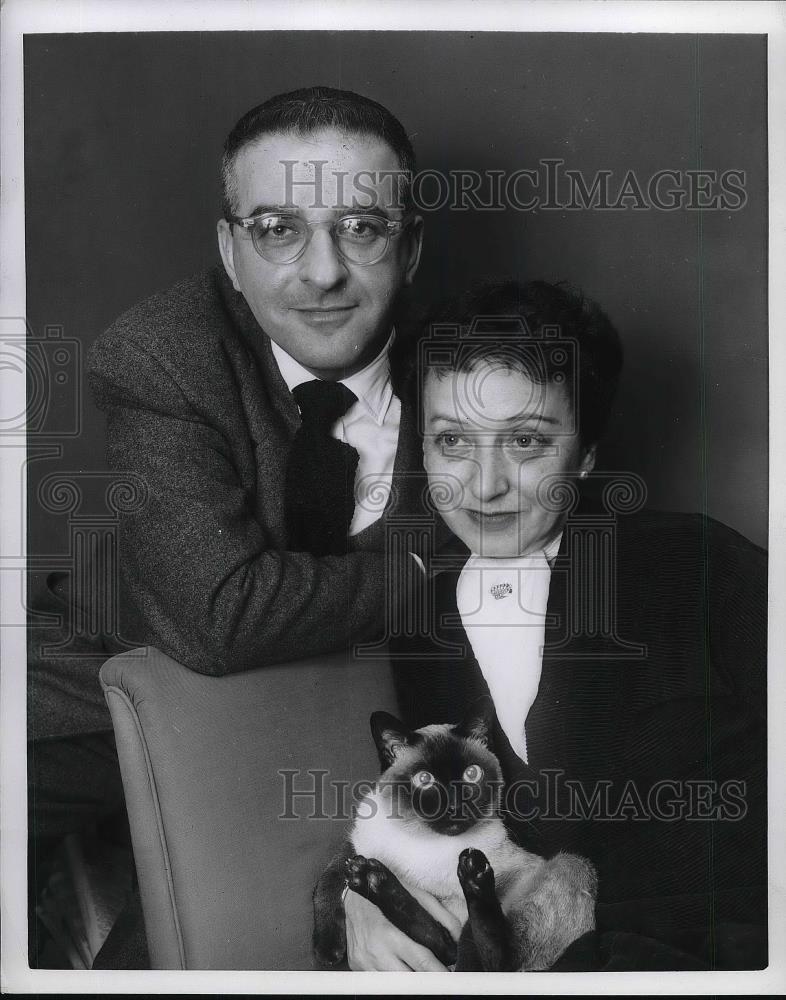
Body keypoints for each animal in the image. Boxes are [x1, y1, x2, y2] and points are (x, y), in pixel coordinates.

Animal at [312, 700, 596, 972]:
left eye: (472, 774)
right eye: (424, 779)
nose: (455, 806)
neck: (425, 840)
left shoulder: (513, 876)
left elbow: (473, 940)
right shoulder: (357, 846)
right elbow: (328, 879)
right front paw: (326, 950)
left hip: (568, 863)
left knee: (493, 960)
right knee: (446, 946)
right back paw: (372, 879)